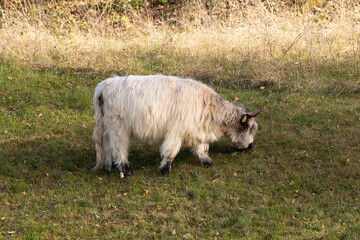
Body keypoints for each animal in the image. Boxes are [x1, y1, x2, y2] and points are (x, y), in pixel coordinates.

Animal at [91, 75, 260, 176]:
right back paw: (124, 170)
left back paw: (109, 166)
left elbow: (202, 148)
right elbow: (170, 151)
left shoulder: (197, 132)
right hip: (118, 127)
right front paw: (165, 170)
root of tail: (107, 83)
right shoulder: (175, 132)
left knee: (106, 140)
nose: (251, 145)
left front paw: (207, 161)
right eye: (250, 128)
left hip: (111, 126)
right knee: (119, 148)